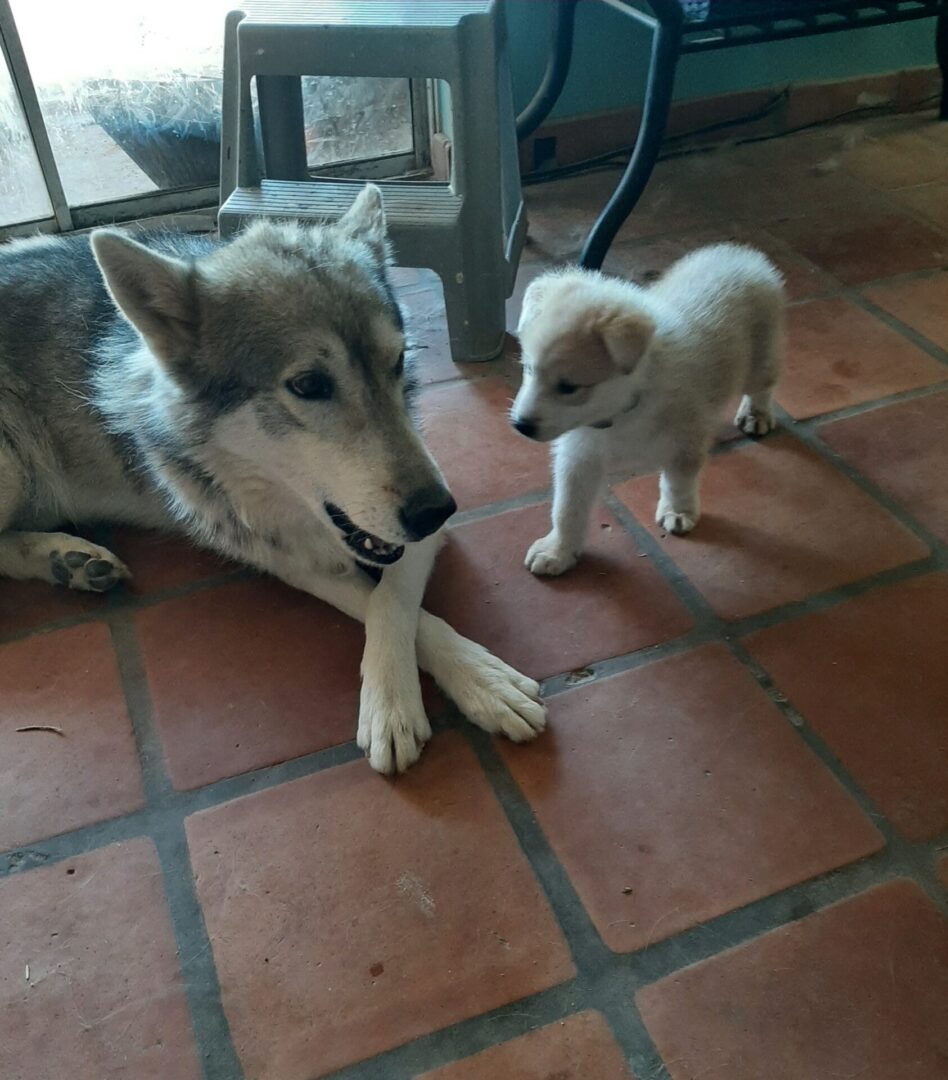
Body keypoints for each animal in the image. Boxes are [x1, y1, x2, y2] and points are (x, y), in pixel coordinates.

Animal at [516, 245, 781, 578]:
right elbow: (566, 508)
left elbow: (678, 482)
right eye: (528, 368)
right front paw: (558, 550)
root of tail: (743, 255)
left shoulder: (685, 441)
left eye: (568, 387)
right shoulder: (579, 455)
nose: (520, 425)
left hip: (760, 358)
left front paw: (678, 511)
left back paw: (756, 414)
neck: (623, 411)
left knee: (764, 384)